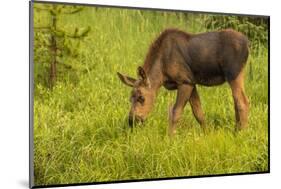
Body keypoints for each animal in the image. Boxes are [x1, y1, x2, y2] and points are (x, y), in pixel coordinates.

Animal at [117, 28, 248, 135]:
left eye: (142, 98)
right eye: (130, 99)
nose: (132, 121)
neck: (161, 74)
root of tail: (248, 44)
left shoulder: (185, 82)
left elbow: (175, 112)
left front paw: (169, 139)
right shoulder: (191, 83)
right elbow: (198, 113)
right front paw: (207, 134)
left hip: (233, 74)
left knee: (243, 102)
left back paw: (241, 134)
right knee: (236, 101)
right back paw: (237, 130)